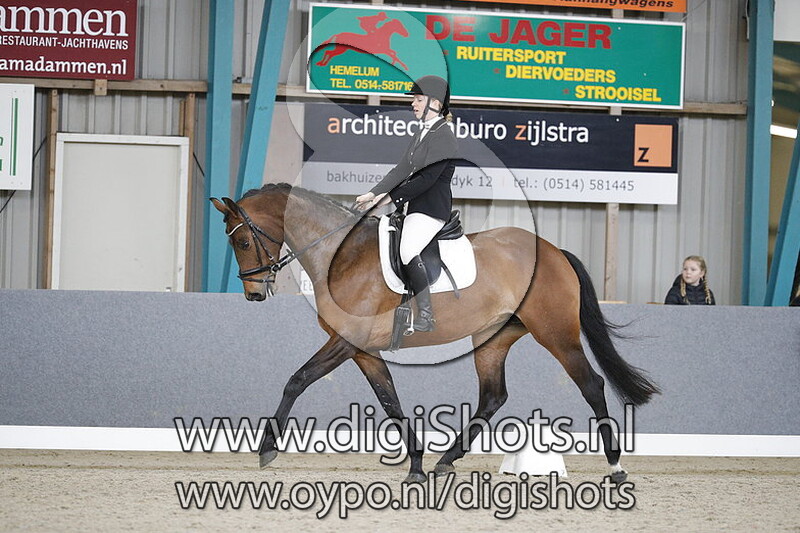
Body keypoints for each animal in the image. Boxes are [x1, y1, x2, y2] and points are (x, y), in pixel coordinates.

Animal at [211, 183, 660, 484]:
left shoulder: (346, 341)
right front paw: (416, 465)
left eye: (245, 241)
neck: (343, 255)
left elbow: (297, 379)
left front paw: (267, 449)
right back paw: (447, 459)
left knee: (590, 384)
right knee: (493, 396)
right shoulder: (363, 351)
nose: (254, 293)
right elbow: (390, 403)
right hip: (492, 338)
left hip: (555, 333)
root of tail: (553, 251)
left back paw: (616, 467)